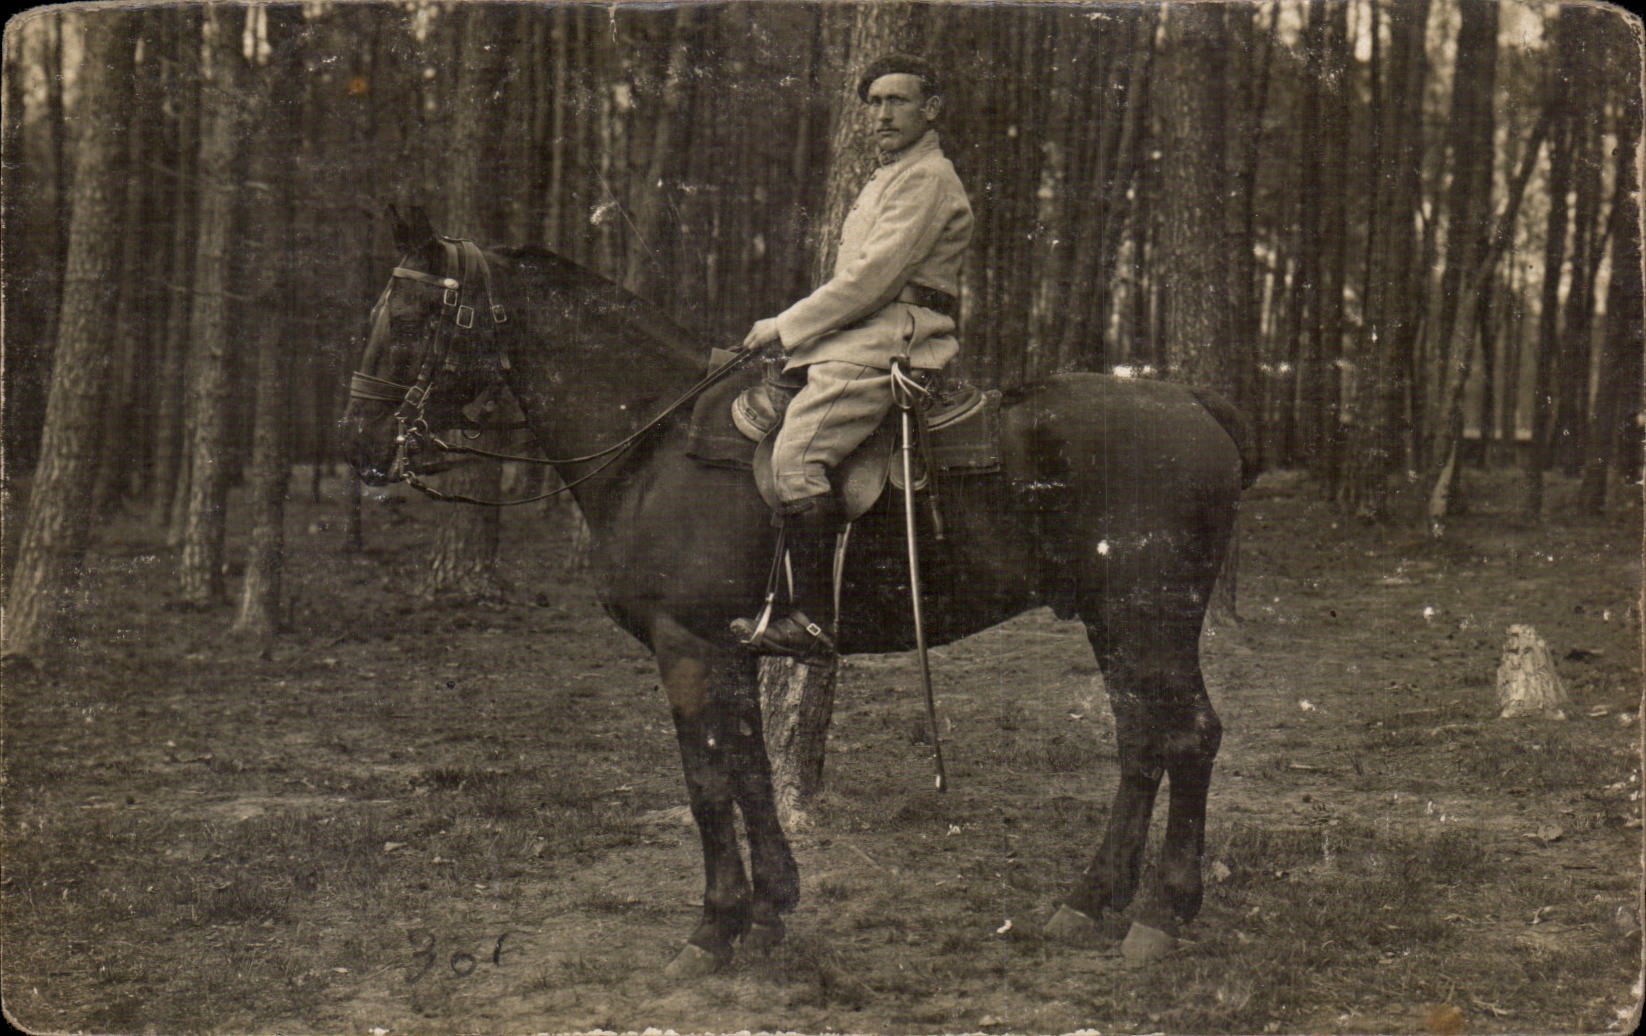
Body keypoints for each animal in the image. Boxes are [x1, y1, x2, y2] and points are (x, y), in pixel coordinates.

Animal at [341, 211, 1254, 976]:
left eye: (411, 319)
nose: (357, 443)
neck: (653, 444)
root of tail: (1195, 402)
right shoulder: (731, 649)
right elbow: (749, 771)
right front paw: (771, 909)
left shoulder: (688, 647)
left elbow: (709, 779)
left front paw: (713, 927)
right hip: (1112, 623)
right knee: (1140, 742)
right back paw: (1089, 900)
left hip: (1149, 619)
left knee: (1188, 737)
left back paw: (1162, 914)